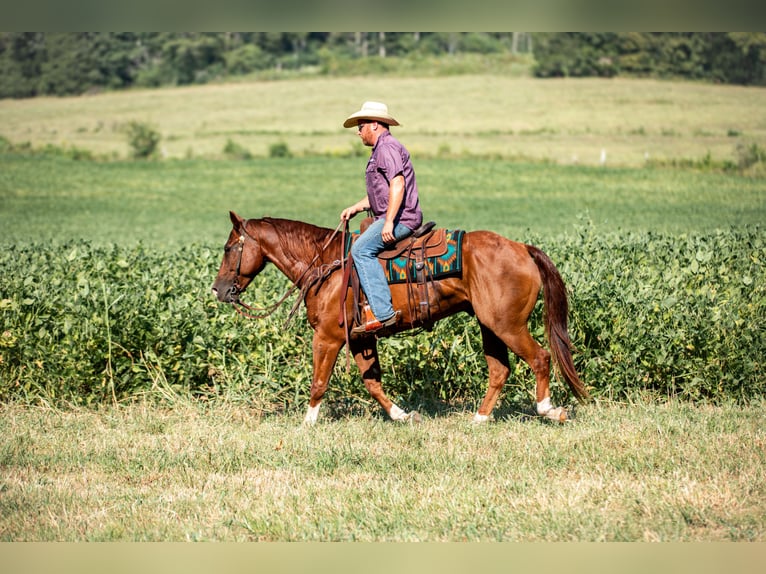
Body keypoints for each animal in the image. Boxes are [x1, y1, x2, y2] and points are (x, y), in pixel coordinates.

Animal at [211, 211, 588, 424]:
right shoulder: (361, 337)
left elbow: (319, 381)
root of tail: (522, 248)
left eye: (229, 248)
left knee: (540, 358)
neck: (326, 264)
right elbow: (372, 383)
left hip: (507, 325)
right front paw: (402, 415)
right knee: (499, 370)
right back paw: (479, 419)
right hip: (489, 326)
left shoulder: (328, 338)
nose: (218, 289)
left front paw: (307, 422)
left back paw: (549, 410)